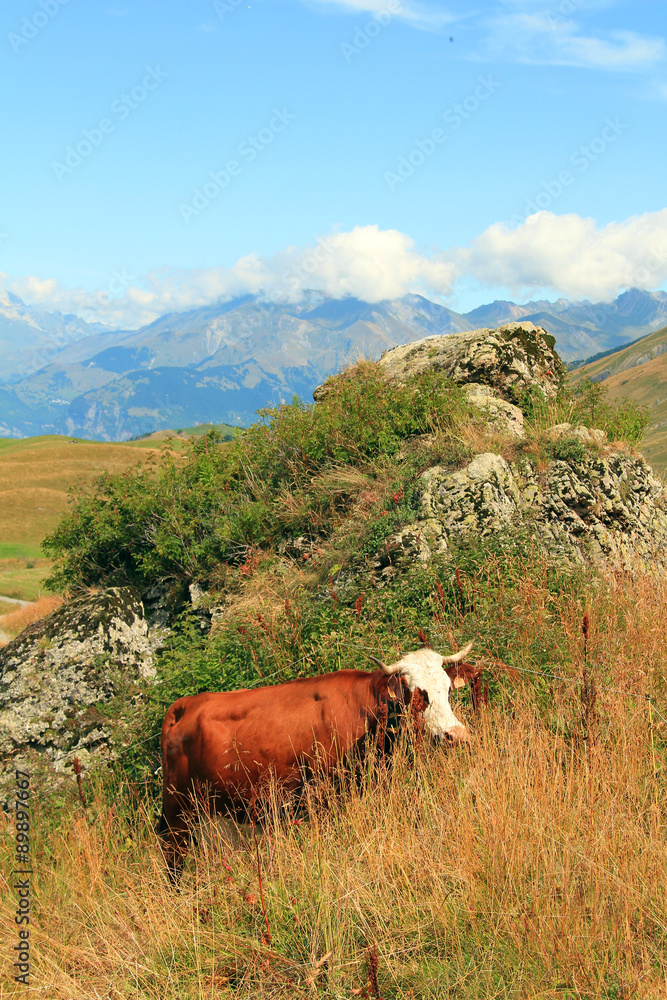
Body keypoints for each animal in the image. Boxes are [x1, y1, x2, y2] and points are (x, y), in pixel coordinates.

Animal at [159, 641, 476, 877]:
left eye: (448, 688)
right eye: (417, 695)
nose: (455, 734)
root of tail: (186, 704)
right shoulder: (325, 795)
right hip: (177, 809)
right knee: (173, 857)